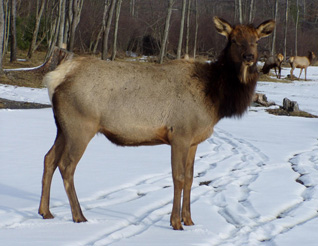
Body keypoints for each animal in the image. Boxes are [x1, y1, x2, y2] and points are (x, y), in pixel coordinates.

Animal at [38, 17, 274, 231]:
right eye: (233, 40)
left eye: (256, 41)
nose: (249, 57)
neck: (215, 99)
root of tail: (55, 78)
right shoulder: (180, 134)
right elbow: (178, 177)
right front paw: (176, 222)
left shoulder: (194, 140)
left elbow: (190, 178)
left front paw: (190, 220)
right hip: (80, 126)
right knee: (66, 165)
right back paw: (79, 216)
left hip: (62, 127)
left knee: (49, 158)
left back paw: (45, 212)